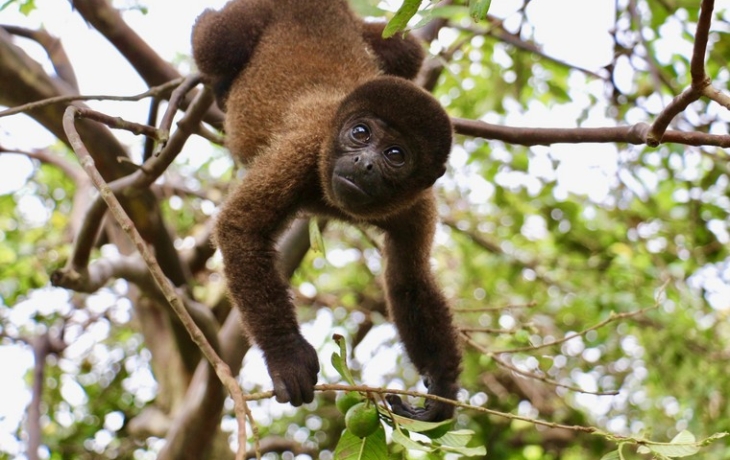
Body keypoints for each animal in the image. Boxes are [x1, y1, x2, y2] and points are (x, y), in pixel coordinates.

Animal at [192, 0, 462, 422]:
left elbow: (409, 279)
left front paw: (441, 388)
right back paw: (217, 80)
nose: (366, 163)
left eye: (395, 155)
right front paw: (287, 356)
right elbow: (241, 227)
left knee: (408, 50)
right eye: (361, 134)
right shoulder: (302, 149)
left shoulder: (418, 204)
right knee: (212, 39)